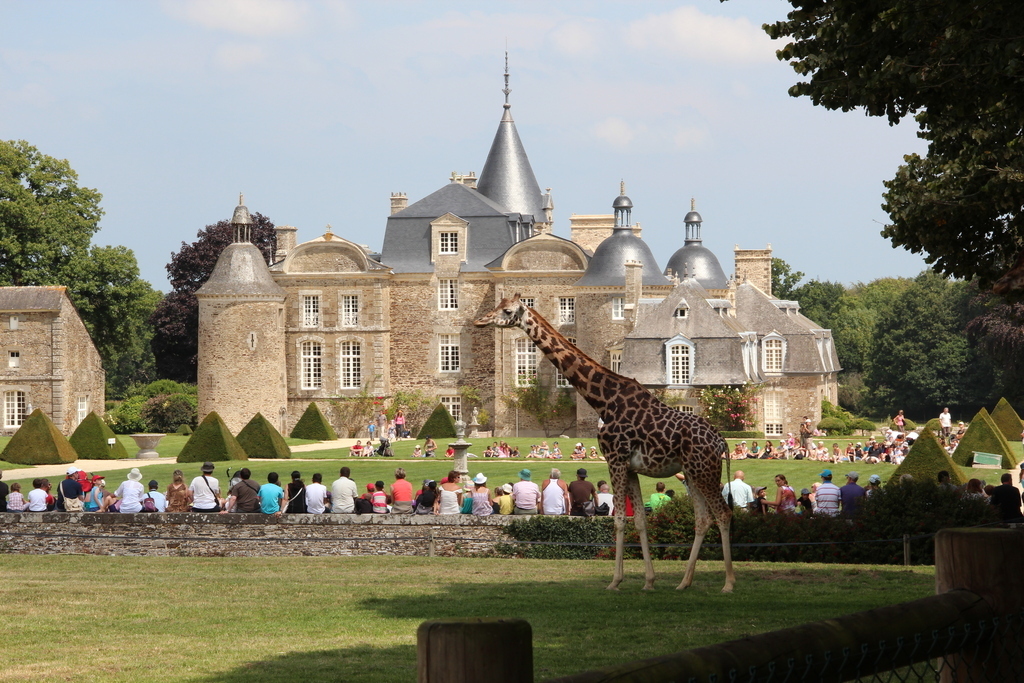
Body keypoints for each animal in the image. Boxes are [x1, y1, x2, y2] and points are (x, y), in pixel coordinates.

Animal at [475, 294, 736, 592]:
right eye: (497, 305)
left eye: (507, 311)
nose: (480, 321)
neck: (603, 400)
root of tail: (722, 441)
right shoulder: (631, 467)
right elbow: (640, 521)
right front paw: (649, 581)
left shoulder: (615, 459)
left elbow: (620, 519)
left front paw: (615, 581)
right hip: (693, 472)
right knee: (703, 518)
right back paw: (684, 582)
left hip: (705, 470)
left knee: (724, 513)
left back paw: (728, 583)